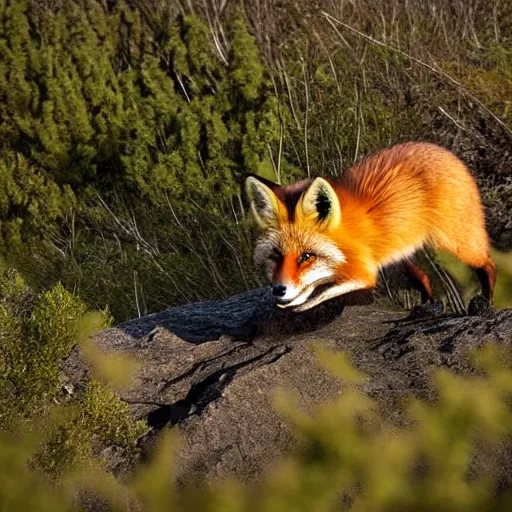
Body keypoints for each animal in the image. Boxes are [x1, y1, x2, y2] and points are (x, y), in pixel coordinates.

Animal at [244, 142, 496, 314]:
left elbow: (323, 292)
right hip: (406, 255)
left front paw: (299, 301)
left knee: (487, 264)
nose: (279, 289)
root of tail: (442, 150)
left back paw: (485, 302)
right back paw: (427, 308)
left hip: (456, 243)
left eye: (307, 256)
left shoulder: (364, 272)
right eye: (276, 255)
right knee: (423, 277)